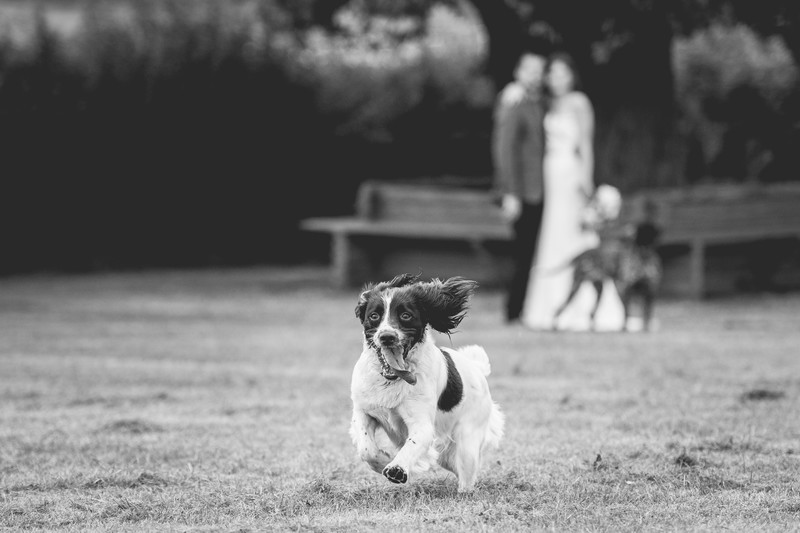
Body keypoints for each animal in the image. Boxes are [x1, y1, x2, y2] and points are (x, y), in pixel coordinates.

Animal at [348, 274, 500, 490]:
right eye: (374, 316)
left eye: (405, 315)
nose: (387, 337)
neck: (392, 380)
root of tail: (477, 368)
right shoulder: (364, 411)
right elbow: (366, 449)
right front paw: (385, 460)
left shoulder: (422, 425)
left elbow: (412, 444)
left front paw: (397, 468)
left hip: (467, 442)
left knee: (467, 476)